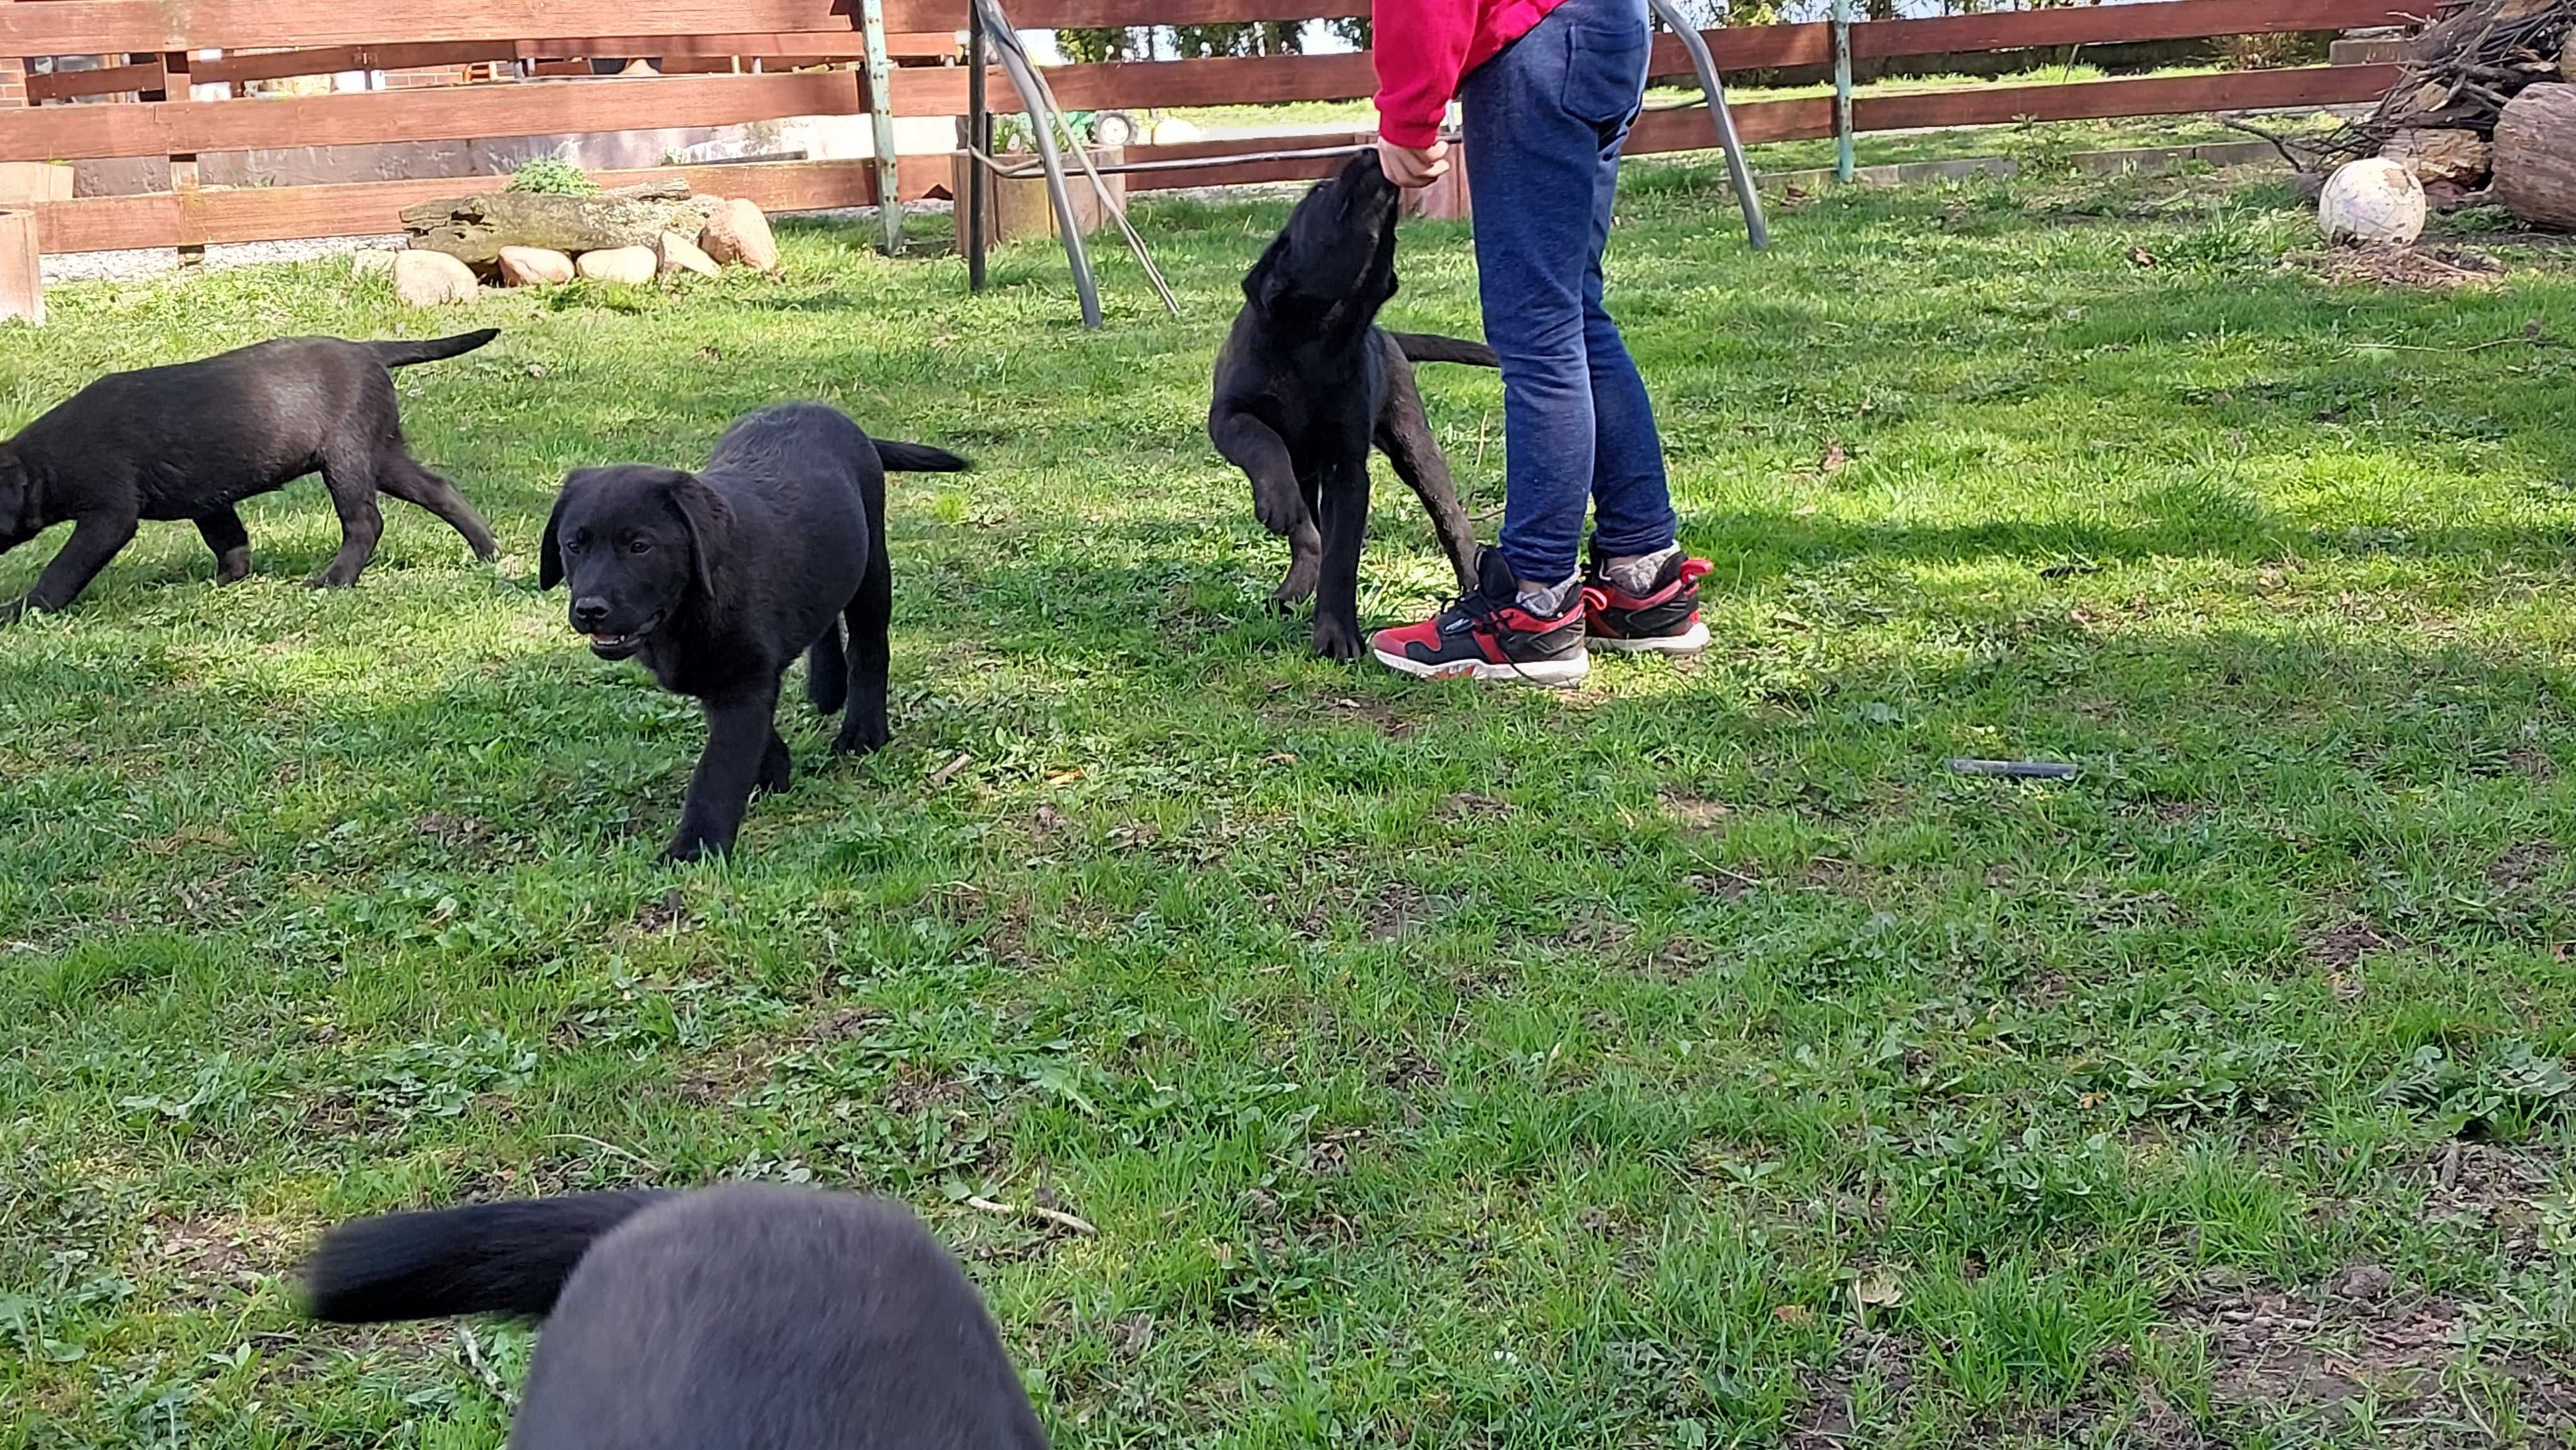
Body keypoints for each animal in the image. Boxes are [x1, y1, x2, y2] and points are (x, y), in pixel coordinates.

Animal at [0, 332, 502, 620]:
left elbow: (63, 568)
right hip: (383, 456)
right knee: (439, 490)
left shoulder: (109, 515)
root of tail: (367, 350)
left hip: (348, 460)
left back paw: (334, 580)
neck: (43, 463)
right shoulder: (209, 501)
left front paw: (23, 609)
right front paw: (227, 583)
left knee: (365, 523)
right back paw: (487, 551)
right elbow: (231, 542)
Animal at [540, 402, 969, 860]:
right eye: (573, 545)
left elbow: (719, 769)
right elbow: (753, 733)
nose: (590, 610)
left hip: (871, 563)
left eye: (640, 547)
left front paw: (694, 848)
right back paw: (826, 687)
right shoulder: (722, 675)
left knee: (869, 648)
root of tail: (824, 410)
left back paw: (863, 732)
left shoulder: (741, 680)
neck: (690, 606)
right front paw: (776, 770)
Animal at [1215, 148, 1504, 659]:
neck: (1320, 339)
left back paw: (1472, 587)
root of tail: (1388, 336)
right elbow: (1261, 439)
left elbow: (1341, 556)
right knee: (1306, 531)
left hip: (1415, 448)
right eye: (1320, 190)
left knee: (1452, 523)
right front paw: (1278, 501)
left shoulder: (1347, 468)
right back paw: (1292, 582)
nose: (1370, 152)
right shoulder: (1227, 415)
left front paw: (1337, 636)